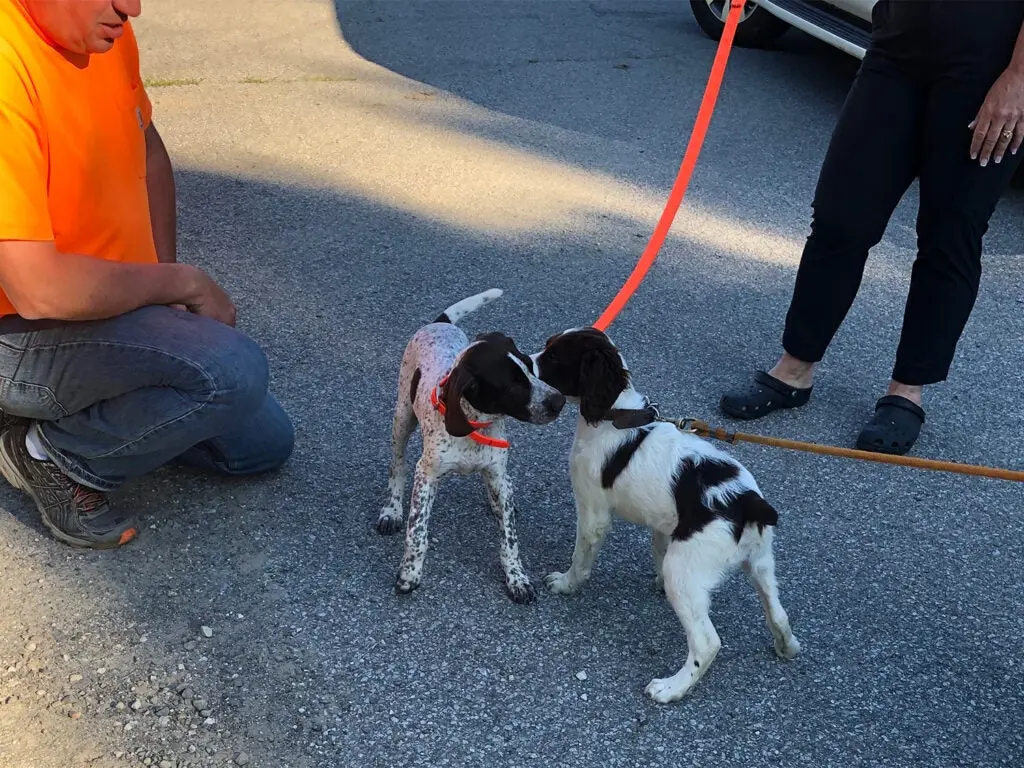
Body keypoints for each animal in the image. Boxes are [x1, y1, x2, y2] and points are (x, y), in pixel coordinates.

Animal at [378, 290, 565, 606]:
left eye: (530, 368)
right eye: (513, 386)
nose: (559, 401)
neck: (476, 424)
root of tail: (440, 324)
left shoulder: (496, 473)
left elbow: (509, 539)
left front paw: (517, 578)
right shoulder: (426, 476)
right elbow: (417, 531)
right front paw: (410, 573)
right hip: (402, 418)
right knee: (397, 466)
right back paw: (391, 509)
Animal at [532, 327, 802, 708]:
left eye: (554, 356)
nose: (524, 361)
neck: (616, 416)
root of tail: (746, 500)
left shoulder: (592, 511)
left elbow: (581, 558)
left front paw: (566, 584)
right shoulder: (663, 523)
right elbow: (658, 548)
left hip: (687, 570)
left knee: (706, 642)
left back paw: (672, 688)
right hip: (761, 560)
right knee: (777, 610)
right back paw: (786, 646)